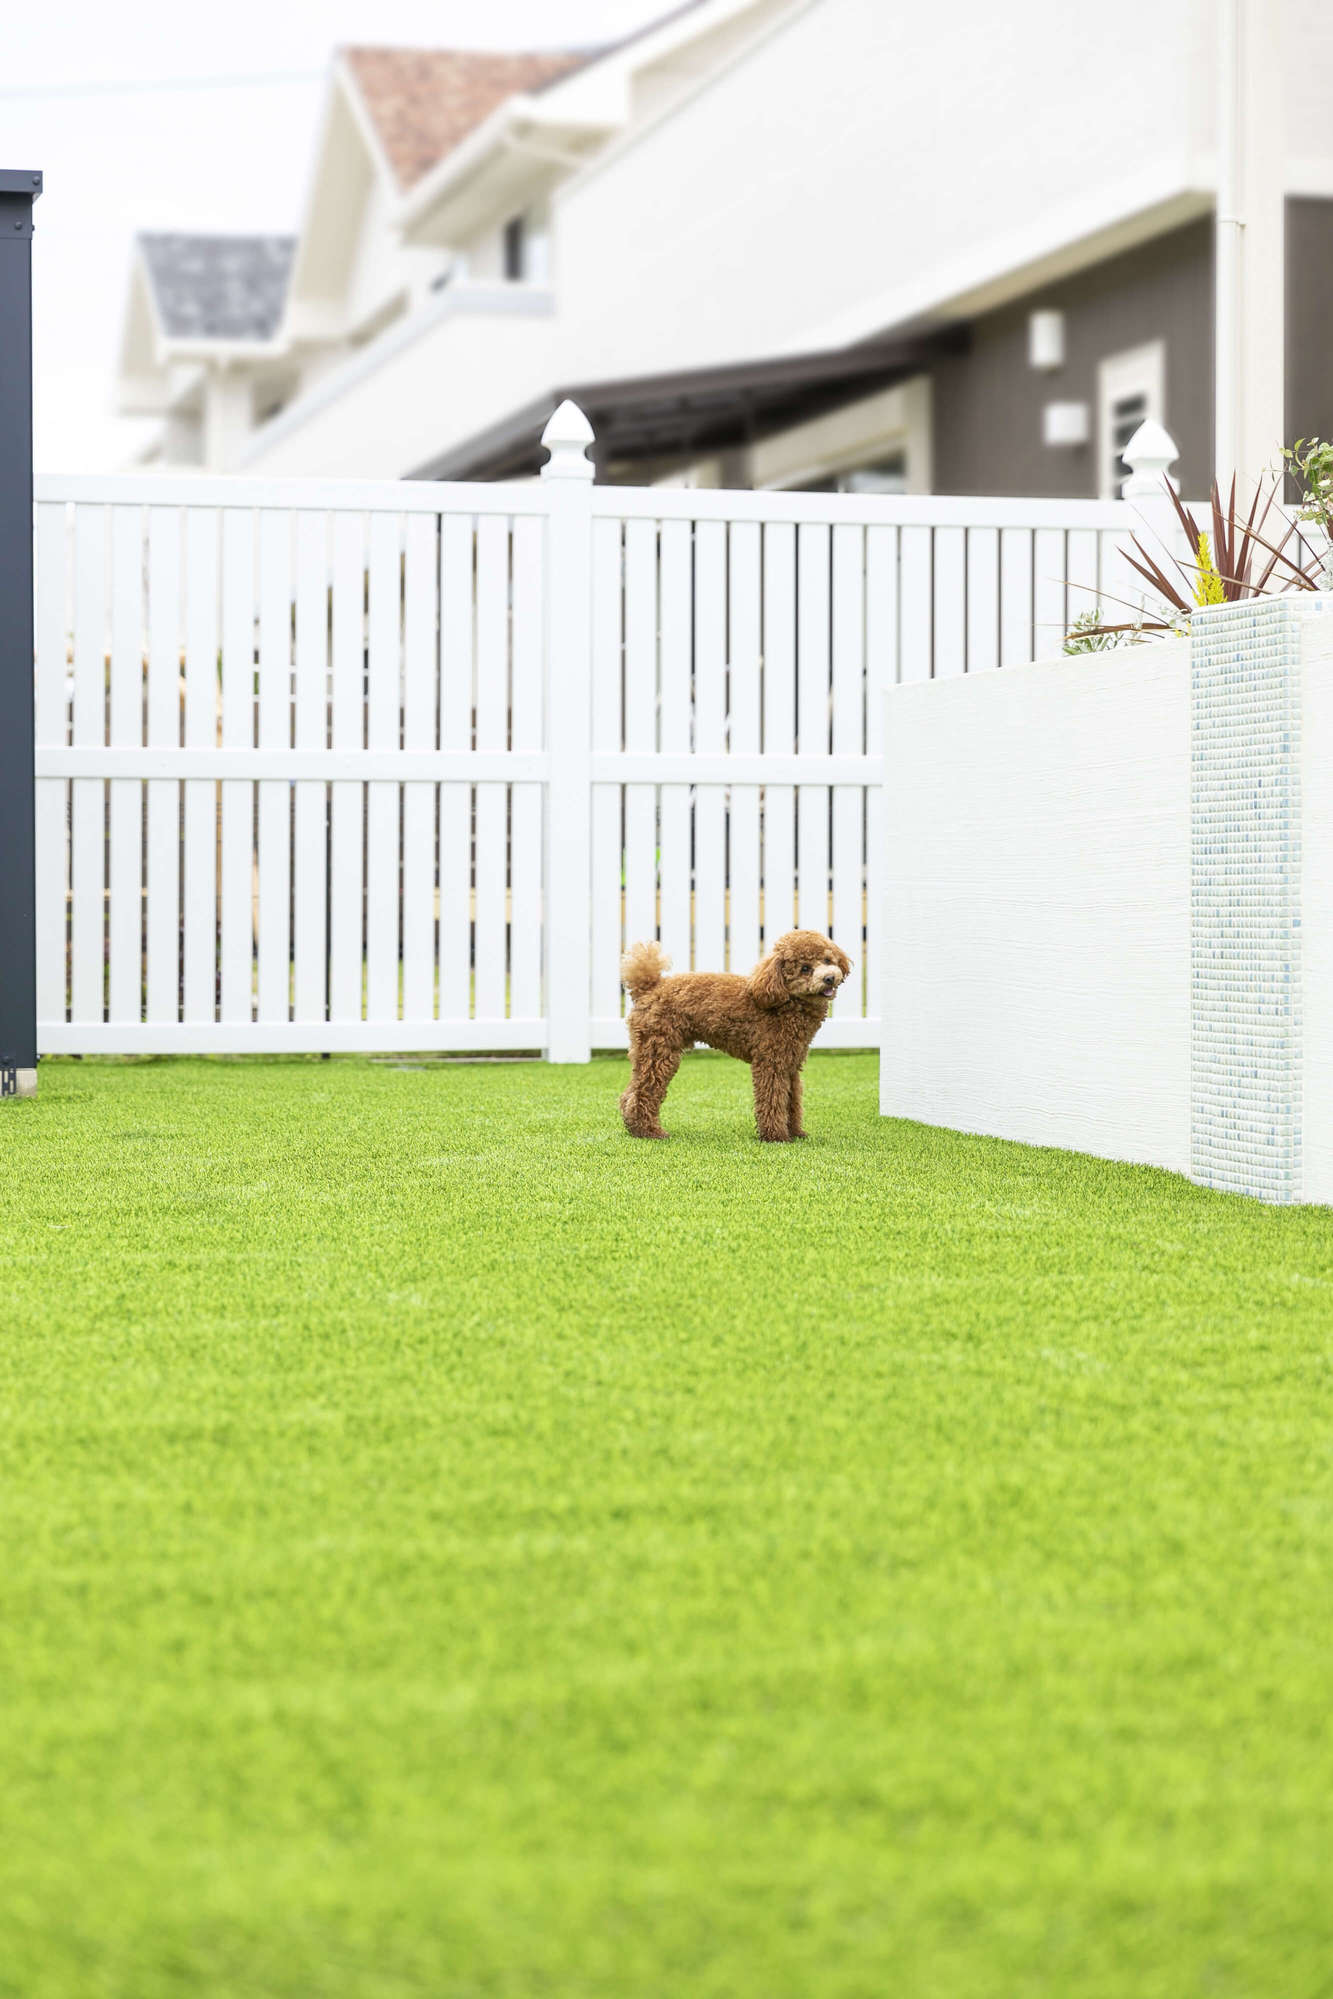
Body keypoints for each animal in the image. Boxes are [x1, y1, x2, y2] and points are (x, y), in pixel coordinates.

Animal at [619, 923, 851, 1135]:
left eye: (828, 960)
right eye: (805, 969)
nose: (829, 978)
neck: (785, 1001)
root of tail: (649, 987)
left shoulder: (791, 1063)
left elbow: (791, 1099)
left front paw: (795, 1132)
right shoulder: (771, 1062)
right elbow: (773, 1098)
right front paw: (776, 1135)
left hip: (647, 1049)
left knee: (629, 1092)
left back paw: (633, 1127)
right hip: (659, 1048)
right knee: (643, 1091)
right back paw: (649, 1131)